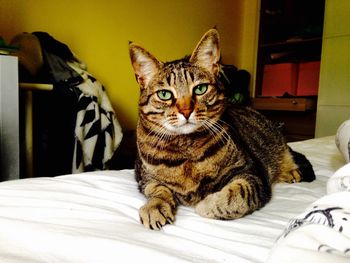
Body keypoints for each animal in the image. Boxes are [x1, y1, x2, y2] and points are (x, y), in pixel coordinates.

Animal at [129, 29, 314, 231]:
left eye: (200, 89)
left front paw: (206, 204)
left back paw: (291, 171)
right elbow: (157, 189)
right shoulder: (143, 178)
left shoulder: (252, 172)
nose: (186, 111)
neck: (186, 147)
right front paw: (154, 207)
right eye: (164, 94)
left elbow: (238, 195)